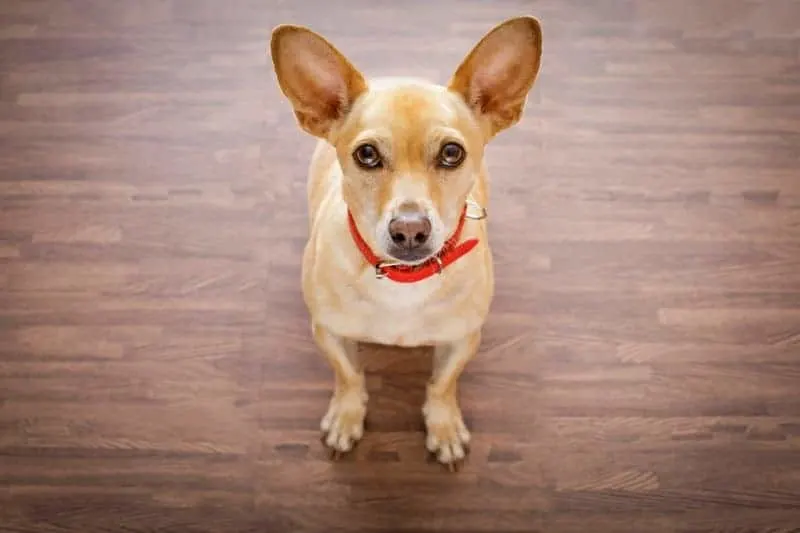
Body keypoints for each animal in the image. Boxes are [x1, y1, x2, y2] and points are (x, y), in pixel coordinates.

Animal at [270, 15, 544, 466]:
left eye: (452, 153)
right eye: (366, 155)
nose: (410, 229)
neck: (404, 280)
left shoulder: (462, 339)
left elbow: (442, 384)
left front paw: (443, 425)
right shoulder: (329, 332)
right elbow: (349, 376)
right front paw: (346, 417)